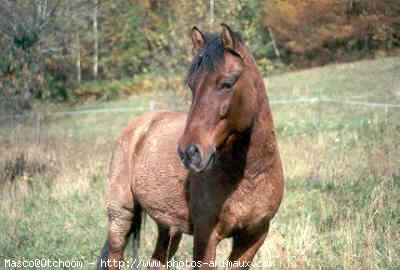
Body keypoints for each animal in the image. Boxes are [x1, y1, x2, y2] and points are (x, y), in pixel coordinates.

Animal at [97, 24, 284, 268]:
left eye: (227, 84)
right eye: (192, 85)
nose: (189, 152)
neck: (250, 177)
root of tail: (137, 127)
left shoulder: (253, 237)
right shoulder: (206, 237)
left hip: (167, 226)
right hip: (121, 215)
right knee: (115, 255)